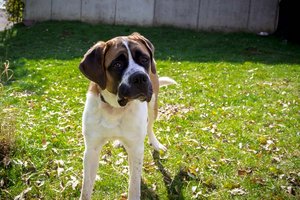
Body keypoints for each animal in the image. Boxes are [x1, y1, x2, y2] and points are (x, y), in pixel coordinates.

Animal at [79, 32, 176, 199]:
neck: (115, 109)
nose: (140, 77)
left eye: (144, 59)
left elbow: (134, 185)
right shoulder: (91, 150)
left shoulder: (136, 149)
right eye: (117, 64)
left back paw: (155, 143)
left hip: (153, 106)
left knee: (150, 127)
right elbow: (86, 187)